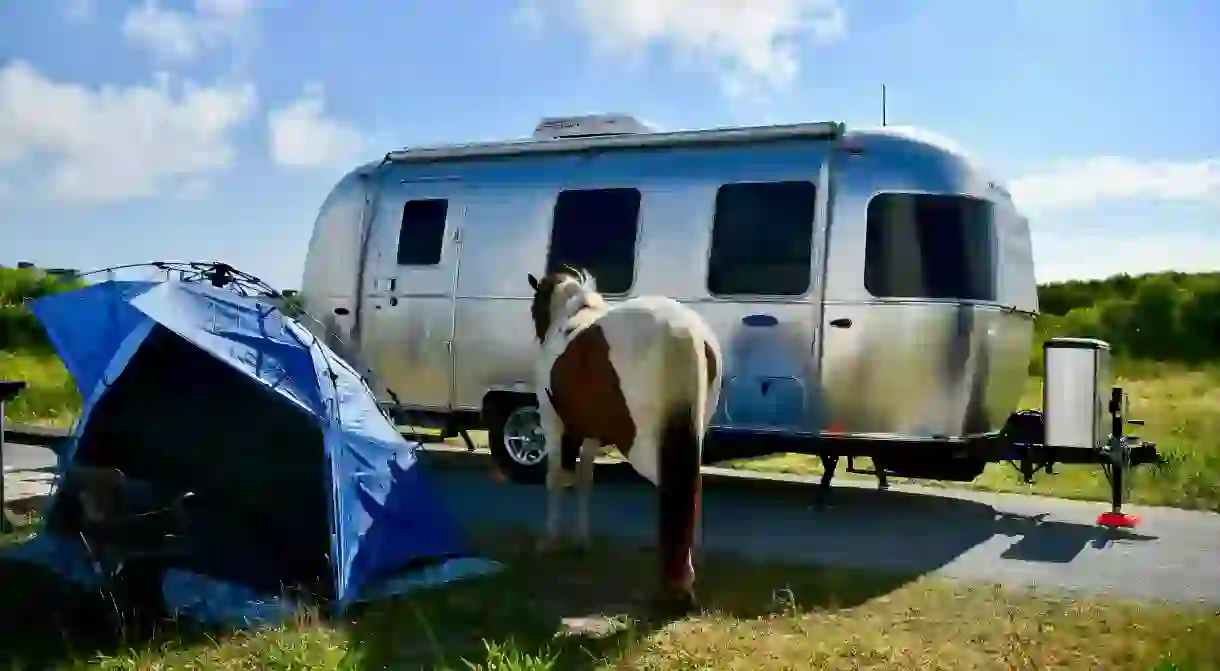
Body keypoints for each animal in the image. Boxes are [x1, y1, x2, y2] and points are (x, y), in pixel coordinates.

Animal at [527, 265, 722, 612]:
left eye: (535, 309)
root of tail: (681, 331)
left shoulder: (554, 423)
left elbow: (556, 478)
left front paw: (550, 540)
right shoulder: (591, 433)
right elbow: (585, 479)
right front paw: (581, 540)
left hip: (644, 444)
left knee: (672, 489)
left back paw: (678, 580)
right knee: (692, 487)